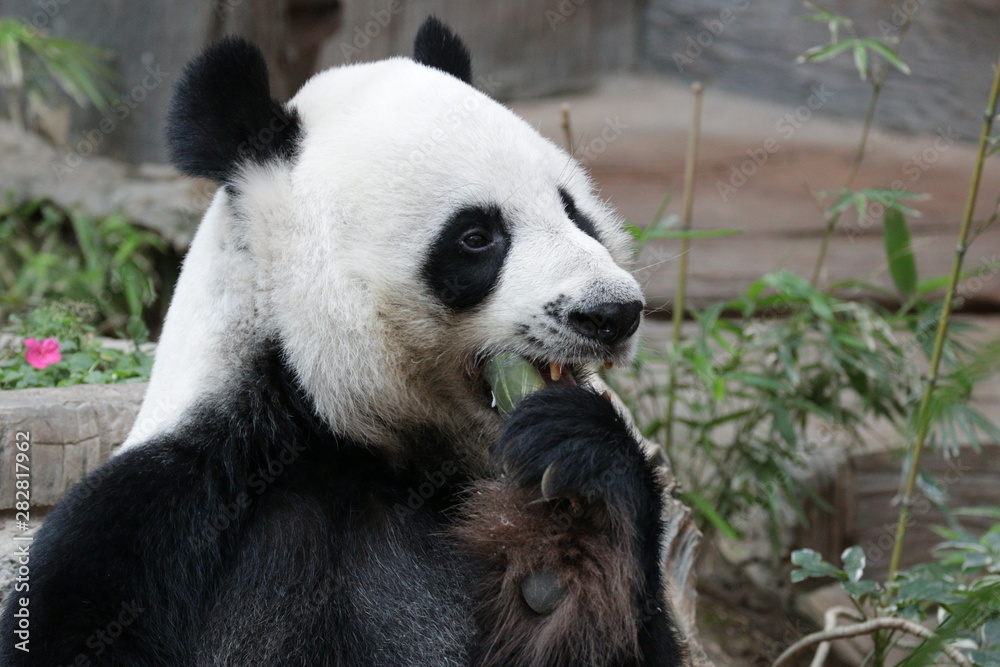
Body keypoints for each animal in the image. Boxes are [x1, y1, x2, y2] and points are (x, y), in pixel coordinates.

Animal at [1, 17, 689, 667]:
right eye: (475, 237)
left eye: (574, 211)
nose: (612, 313)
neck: (343, 439)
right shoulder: (156, 518)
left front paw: (579, 495)